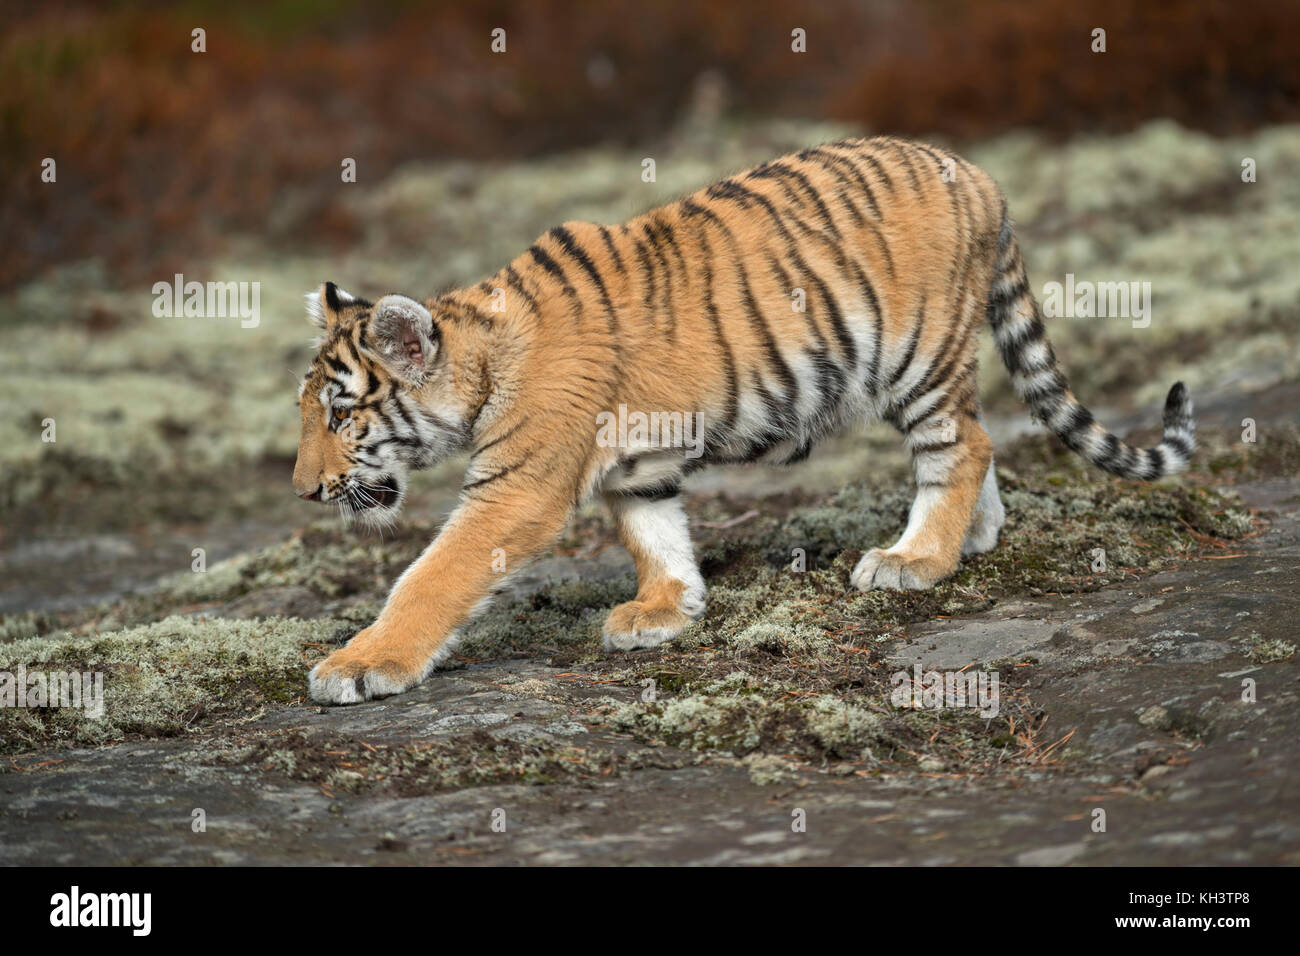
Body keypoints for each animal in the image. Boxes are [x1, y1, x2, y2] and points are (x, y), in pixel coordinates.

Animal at [297, 134, 1196, 702]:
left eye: (341, 415)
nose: (305, 491)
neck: (481, 360)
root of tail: (976, 173)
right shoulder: (636, 467)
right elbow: (653, 533)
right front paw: (665, 611)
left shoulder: (518, 485)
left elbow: (431, 576)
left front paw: (358, 666)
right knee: (977, 439)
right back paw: (972, 537)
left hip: (917, 356)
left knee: (964, 444)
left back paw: (916, 559)